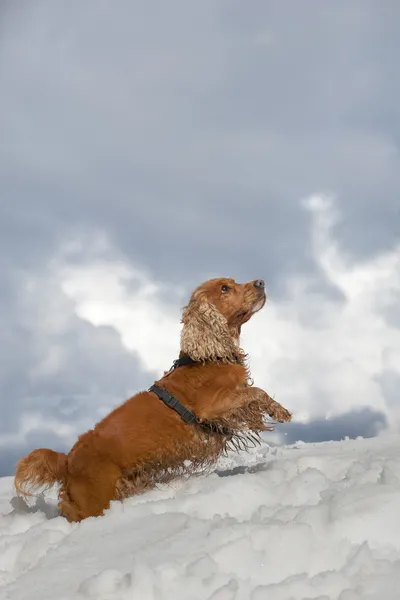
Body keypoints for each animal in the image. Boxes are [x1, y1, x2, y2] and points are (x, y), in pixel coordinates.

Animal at [14, 278, 290, 524]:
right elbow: (256, 392)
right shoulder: (214, 407)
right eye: (224, 288)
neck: (210, 356)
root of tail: (67, 461)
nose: (261, 282)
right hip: (95, 501)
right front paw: (281, 412)